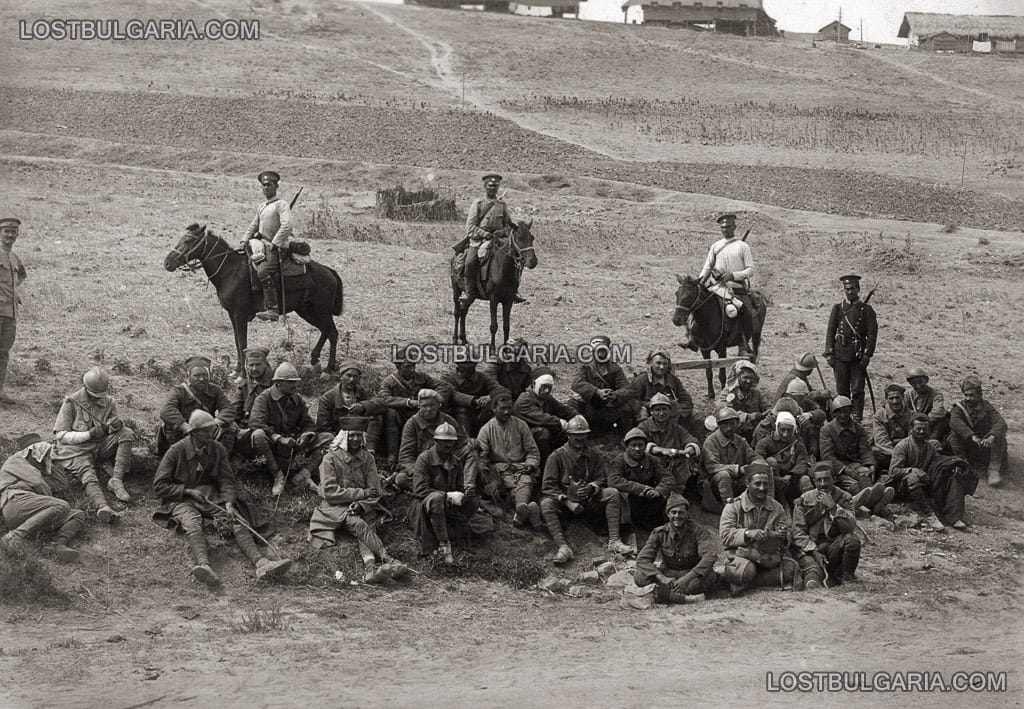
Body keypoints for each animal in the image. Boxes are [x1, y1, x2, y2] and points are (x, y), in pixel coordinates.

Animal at [163, 224, 346, 372]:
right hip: (308, 311)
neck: (230, 270)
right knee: (326, 331)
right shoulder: (232, 315)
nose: (167, 262)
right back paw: (315, 358)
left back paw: (330, 367)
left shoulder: (240, 314)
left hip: (320, 311)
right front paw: (237, 368)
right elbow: (237, 342)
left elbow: (242, 343)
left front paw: (242, 372)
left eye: (188, 240)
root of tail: (329, 271)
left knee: (332, 332)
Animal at [452, 217, 540, 348]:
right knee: (457, 312)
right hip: (456, 290)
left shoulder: (509, 300)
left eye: (532, 237)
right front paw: (493, 349)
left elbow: (506, 326)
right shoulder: (493, 300)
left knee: (464, 311)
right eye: (519, 238)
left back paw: (464, 339)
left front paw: (506, 348)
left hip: (471, 296)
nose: (532, 261)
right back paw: (454, 340)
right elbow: (494, 326)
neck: (502, 269)